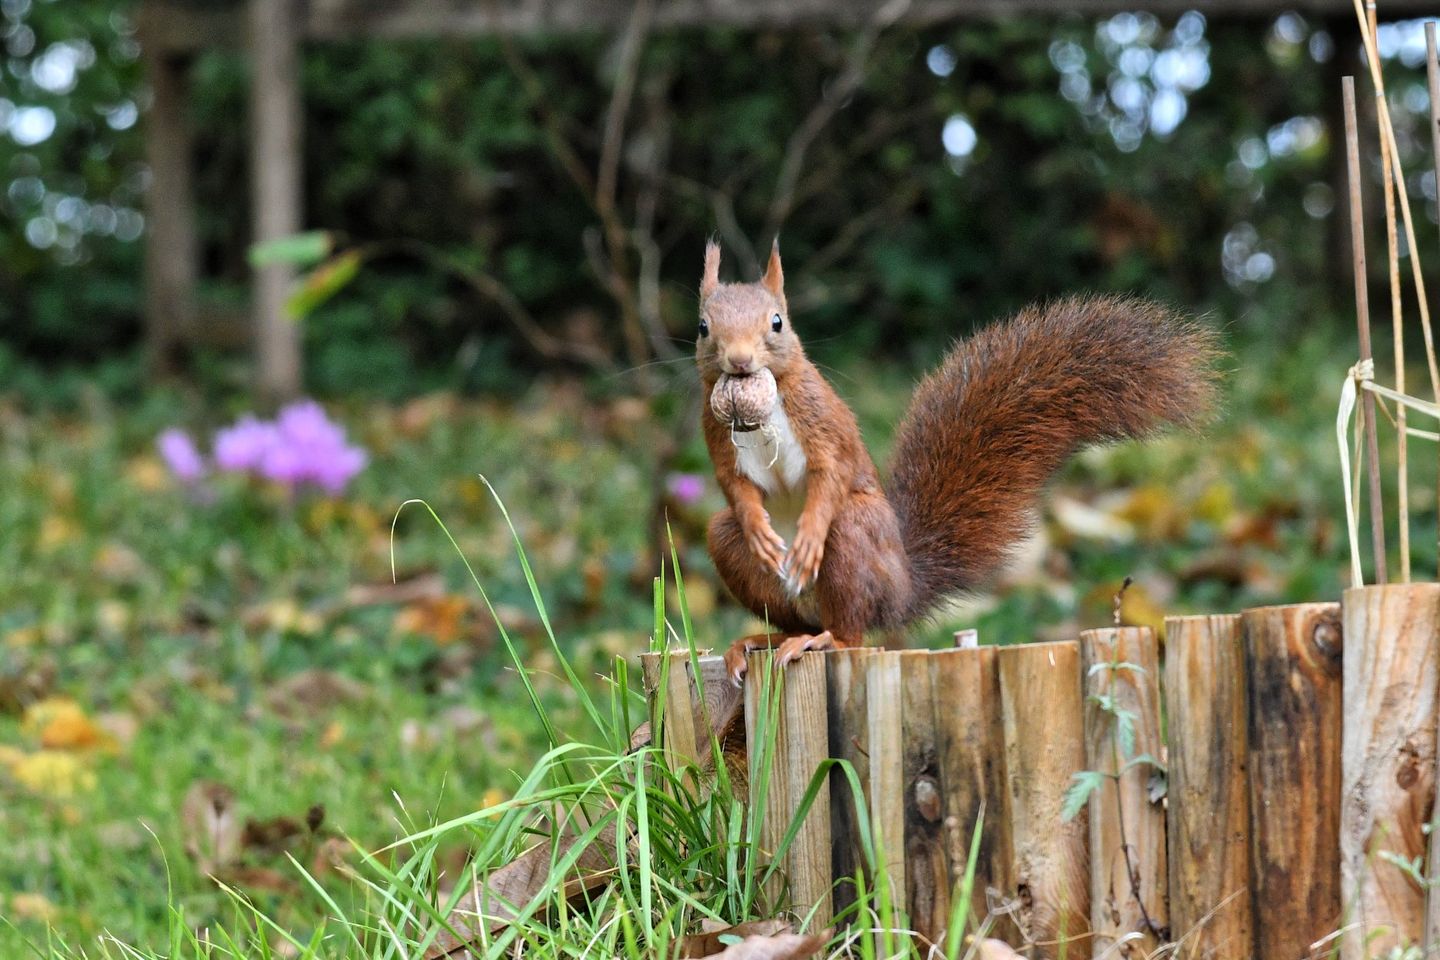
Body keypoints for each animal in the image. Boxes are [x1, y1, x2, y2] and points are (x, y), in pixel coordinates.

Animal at [702, 240, 1221, 679]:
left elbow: (831, 471)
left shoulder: (820, 420)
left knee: (851, 631)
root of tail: (903, 588)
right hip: (733, 548)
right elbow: (732, 483)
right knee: (784, 602)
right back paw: (760, 640)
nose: (740, 361)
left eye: (777, 322)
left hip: (855, 536)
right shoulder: (715, 431)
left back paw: (826, 639)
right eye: (704, 327)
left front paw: (809, 536)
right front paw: (758, 528)